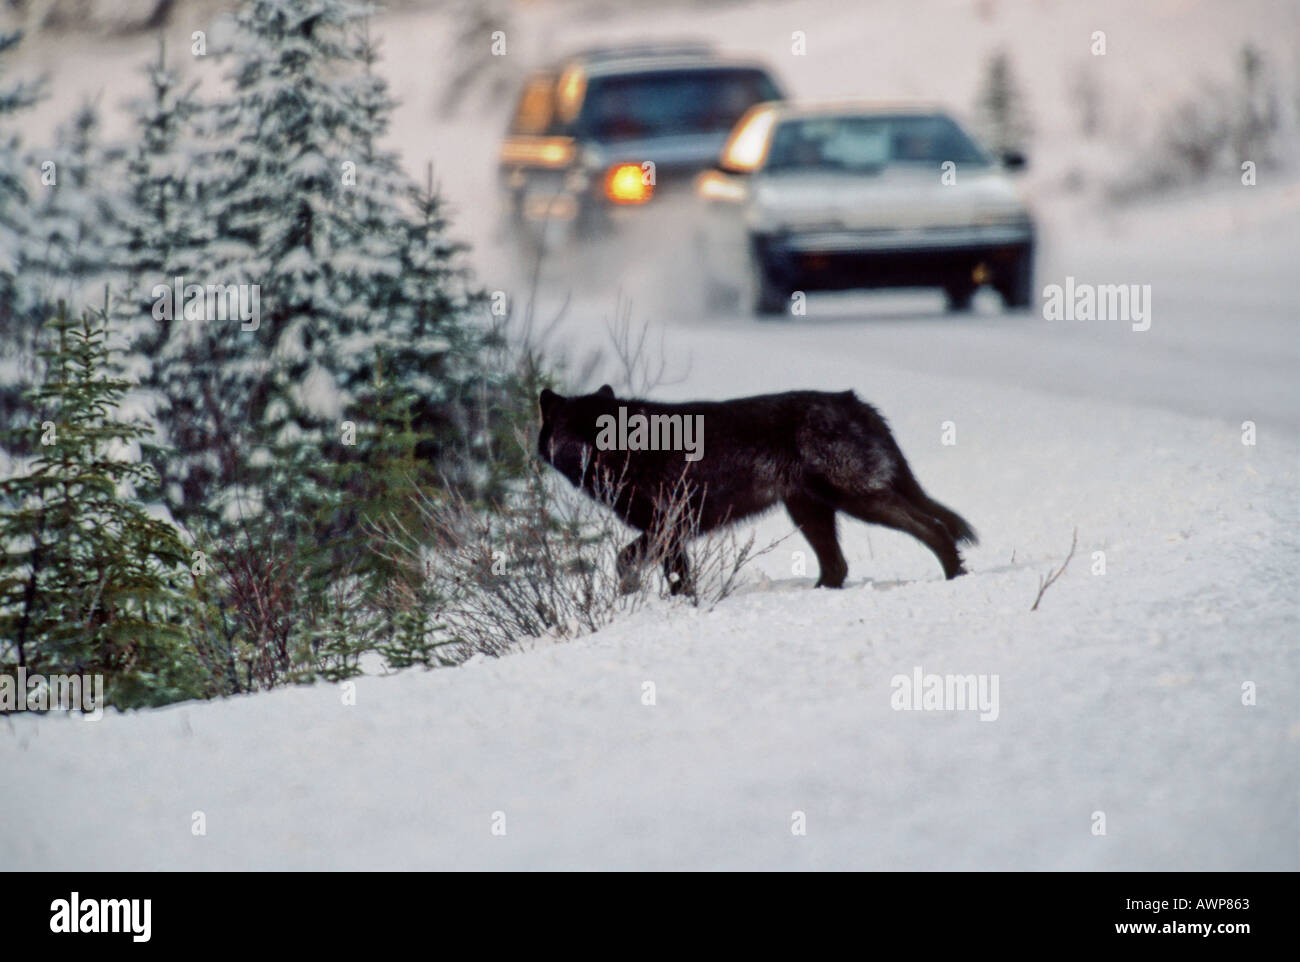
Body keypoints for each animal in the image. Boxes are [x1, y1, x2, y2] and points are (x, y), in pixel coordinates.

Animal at [537, 385, 977, 592]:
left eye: (602, 426)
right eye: (577, 430)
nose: (598, 450)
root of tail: (855, 402)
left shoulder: (668, 526)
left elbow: (623, 560)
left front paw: (629, 592)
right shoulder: (672, 535)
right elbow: (679, 580)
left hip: (856, 501)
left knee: (934, 528)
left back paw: (956, 576)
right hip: (810, 512)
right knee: (837, 566)